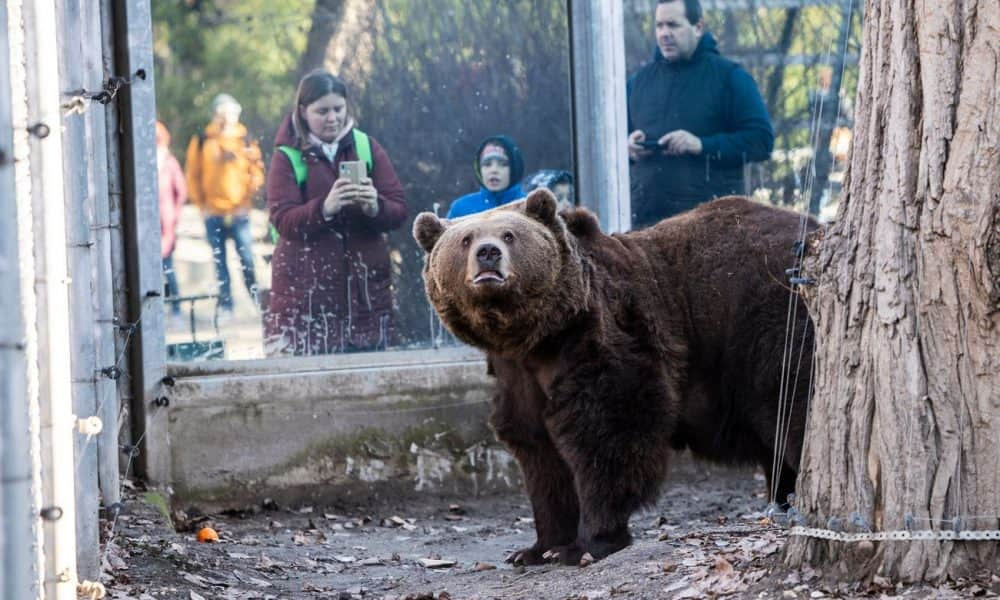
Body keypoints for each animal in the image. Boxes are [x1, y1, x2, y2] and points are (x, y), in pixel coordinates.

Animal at [414, 191, 812, 568]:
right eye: (465, 238)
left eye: (509, 234)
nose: (488, 253)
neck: (535, 338)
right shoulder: (517, 377)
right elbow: (540, 455)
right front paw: (536, 548)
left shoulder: (600, 337)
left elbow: (608, 434)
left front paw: (586, 544)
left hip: (767, 322)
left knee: (794, 410)